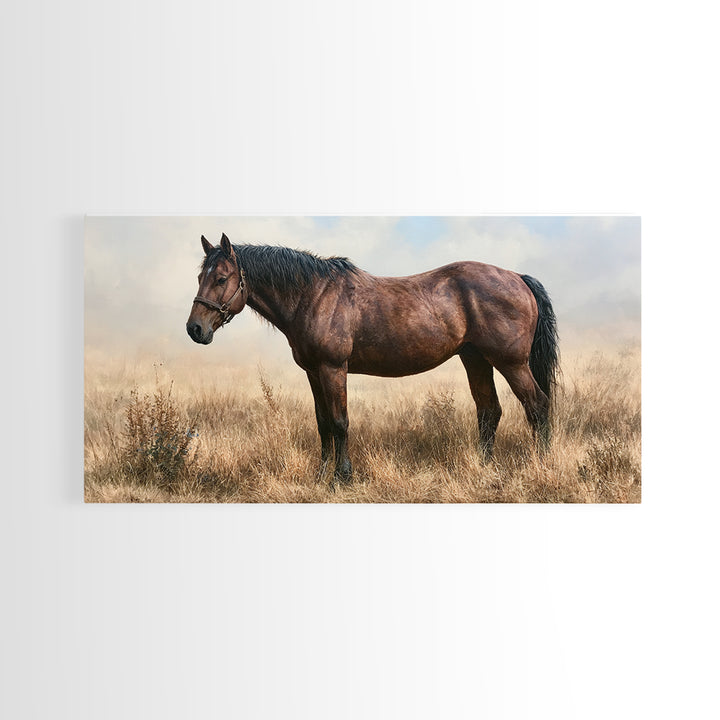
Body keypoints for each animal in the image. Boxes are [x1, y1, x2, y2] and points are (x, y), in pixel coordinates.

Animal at [186, 233, 559, 484]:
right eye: (200, 277)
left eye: (221, 278)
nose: (195, 329)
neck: (313, 295)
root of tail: (518, 278)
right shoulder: (313, 372)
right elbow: (323, 424)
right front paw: (321, 475)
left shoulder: (333, 369)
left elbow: (340, 422)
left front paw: (342, 477)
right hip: (476, 359)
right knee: (489, 411)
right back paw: (483, 467)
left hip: (510, 362)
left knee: (537, 405)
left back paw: (540, 464)